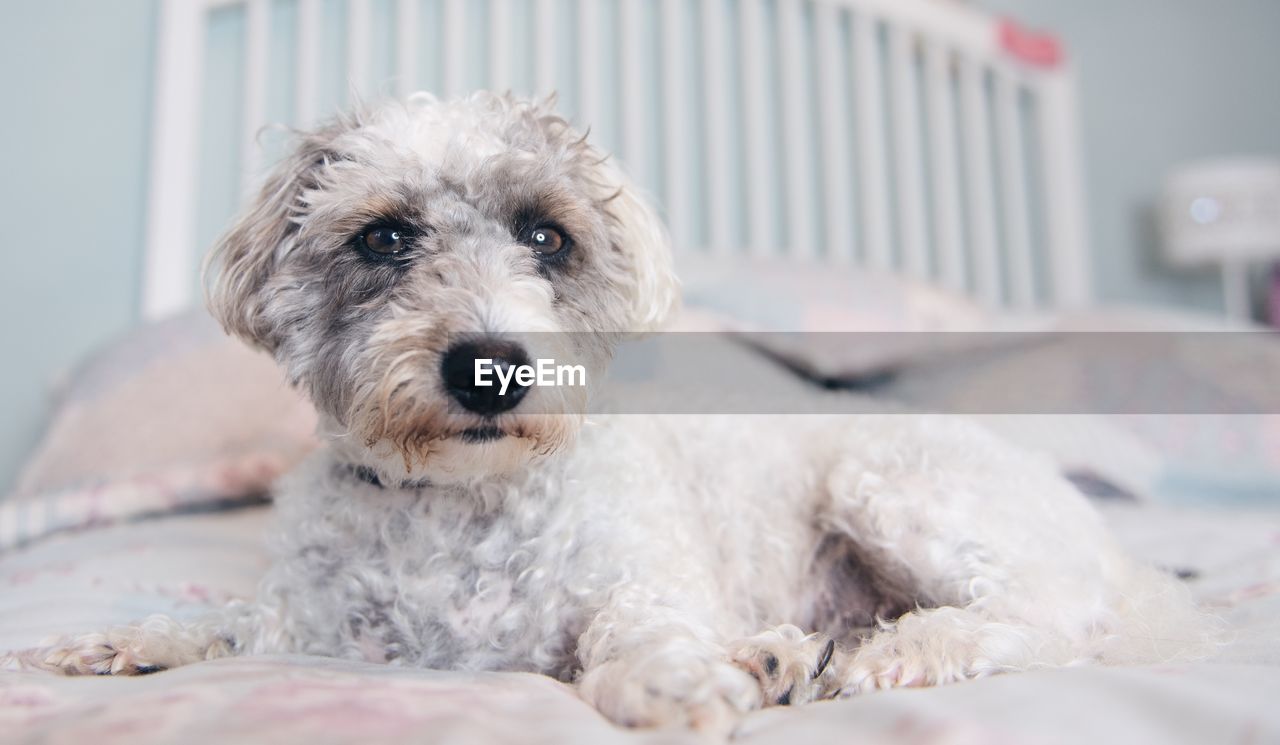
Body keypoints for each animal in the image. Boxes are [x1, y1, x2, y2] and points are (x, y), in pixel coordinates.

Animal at [22, 92, 1218, 737]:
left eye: (545, 236)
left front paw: (683, 684)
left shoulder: (639, 581)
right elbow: (238, 624)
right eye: (385, 238)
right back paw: (787, 654)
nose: (490, 368)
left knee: (1045, 615)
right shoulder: (318, 622)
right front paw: (134, 639)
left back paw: (886, 651)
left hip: (894, 484)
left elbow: (641, 635)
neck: (462, 503)